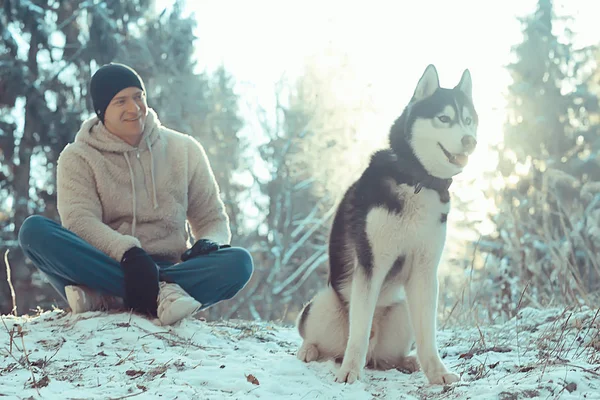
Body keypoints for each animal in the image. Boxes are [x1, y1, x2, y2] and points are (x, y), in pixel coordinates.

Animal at [296, 65, 478, 384]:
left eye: (468, 120)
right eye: (444, 118)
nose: (470, 140)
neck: (417, 181)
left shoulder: (424, 269)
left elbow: (428, 334)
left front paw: (438, 373)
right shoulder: (371, 263)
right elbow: (358, 332)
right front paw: (349, 374)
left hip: (401, 310)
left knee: (386, 355)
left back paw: (407, 361)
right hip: (323, 302)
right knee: (322, 337)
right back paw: (310, 350)